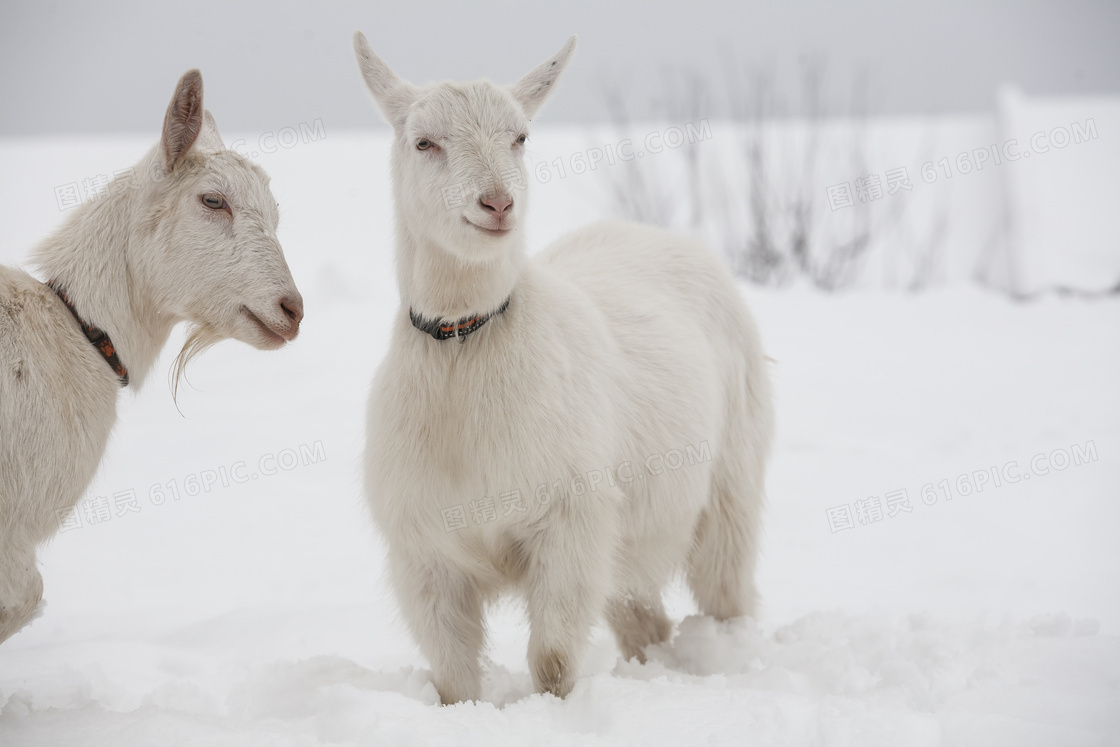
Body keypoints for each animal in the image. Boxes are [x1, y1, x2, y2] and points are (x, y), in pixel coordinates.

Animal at [353, 32, 775, 703]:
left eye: (520, 137)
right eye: (424, 142)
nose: (498, 203)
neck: (465, 350)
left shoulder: (572, 523)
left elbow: (551, 660)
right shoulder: (425, 553)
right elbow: (452, 675)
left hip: (730, 479)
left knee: (726, 590)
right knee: (644, 617)